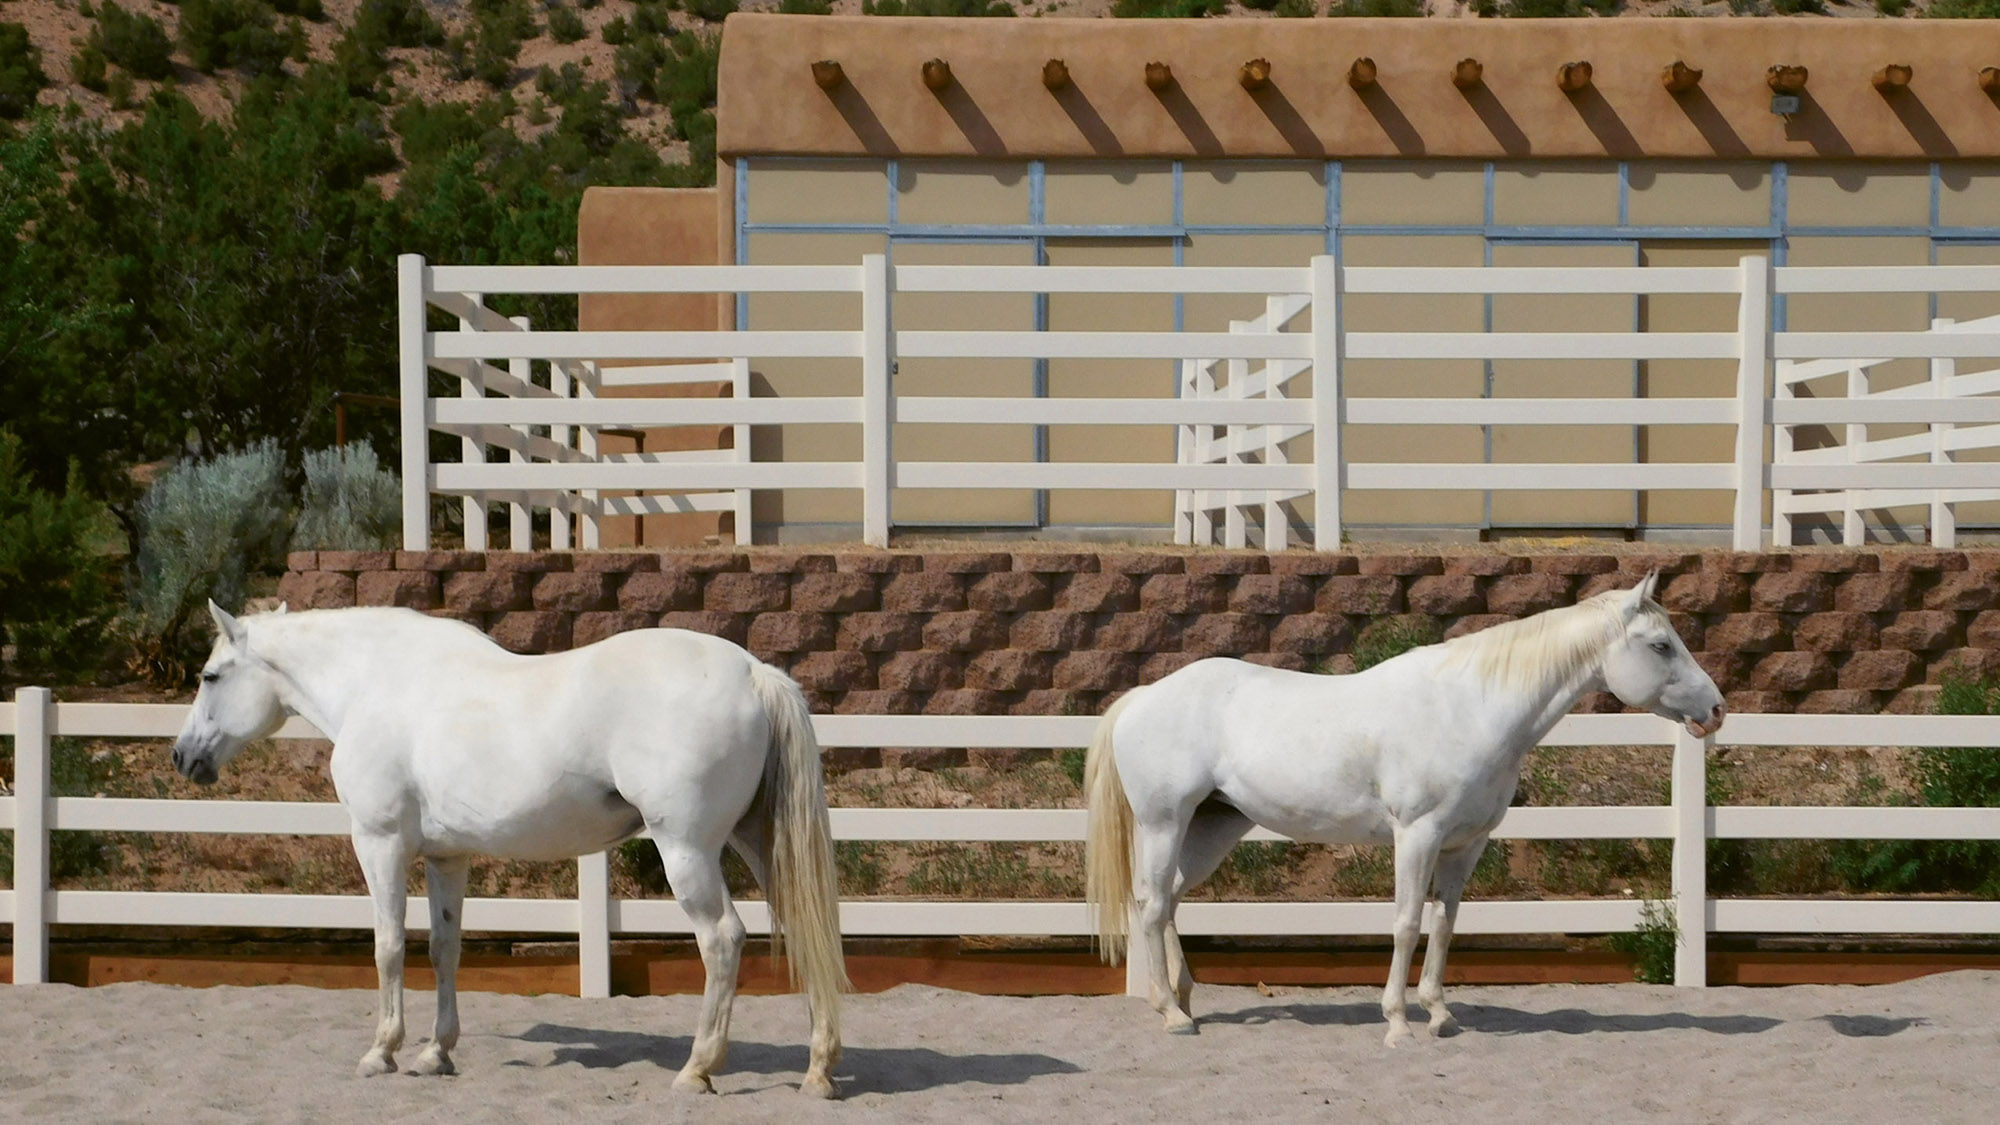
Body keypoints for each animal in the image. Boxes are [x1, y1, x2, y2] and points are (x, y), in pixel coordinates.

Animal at [171, 602, 849, 1097]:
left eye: (209, 677)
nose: (182, 756)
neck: (380, 683)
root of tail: (754, 673)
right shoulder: (447, 858)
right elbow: (444, 950)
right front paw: (435, 1053)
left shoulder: (380, 844)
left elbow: (389, 949)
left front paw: (382, 1051)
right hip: (759, 845)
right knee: (810, 931)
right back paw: (818, 1071)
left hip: (687, 851)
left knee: (722, 940)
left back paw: (698, 1069)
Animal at [1083, 572, 1724, 1045]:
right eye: (1661, 645)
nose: (1716, 711)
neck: (1468, 709)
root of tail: (1142, 696)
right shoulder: (1417, 835)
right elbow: (1407, 922)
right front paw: (1396, 1022)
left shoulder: (1465, 845)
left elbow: (1444, 924)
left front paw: (1440, 1014)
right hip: (1164, 824)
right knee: (1151, 905)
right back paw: (1171, 1013)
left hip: (1215, 825)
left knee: (1170, 901)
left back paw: (1186, 998)